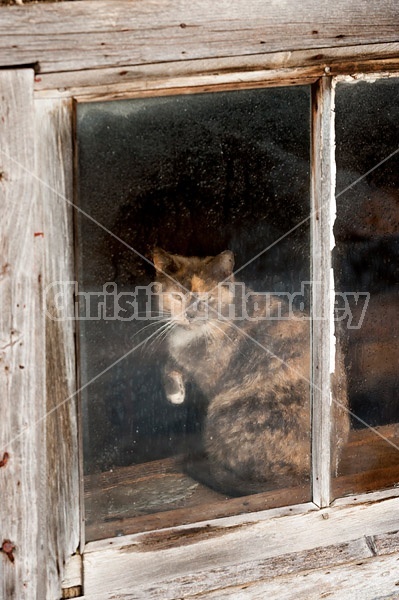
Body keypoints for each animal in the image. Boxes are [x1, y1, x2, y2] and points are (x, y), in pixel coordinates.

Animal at [152, 246, 348, 494]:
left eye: (207, 298)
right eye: (177, 297)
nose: (190, 315)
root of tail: (304, 476)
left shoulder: (209, 373)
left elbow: (177, 363)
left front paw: (176, 394)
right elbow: (170, 363)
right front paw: (175, 392)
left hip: (223, 411)